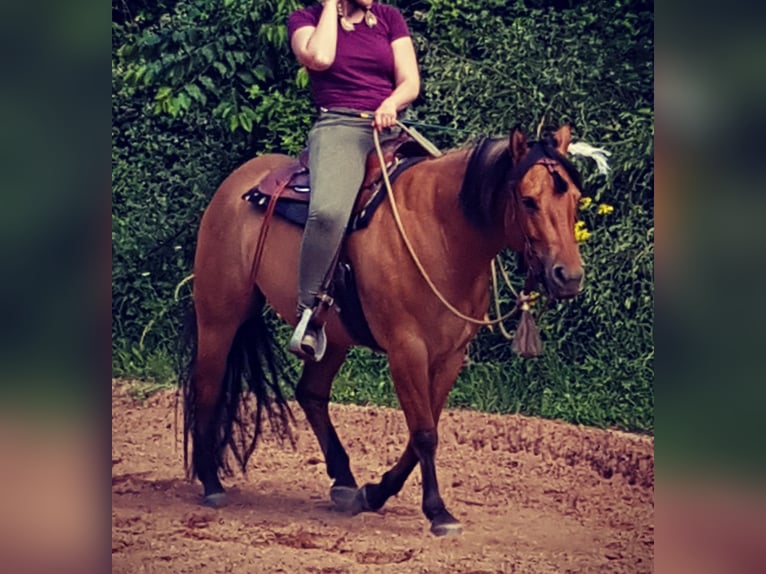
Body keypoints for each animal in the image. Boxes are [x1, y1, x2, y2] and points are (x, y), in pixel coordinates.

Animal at [180, 124, 589, 537]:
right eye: (528, 200)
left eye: (575, 198)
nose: (568, 276)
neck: (442, 232)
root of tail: (238, 182)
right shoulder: (406, 350)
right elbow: (424, 433)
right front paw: (438, 512)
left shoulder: (450, 355)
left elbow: (423, 428)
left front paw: (373, 493)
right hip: (219, 317)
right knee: (208, 388)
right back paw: (212, 484)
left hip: (332, 336)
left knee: (310, 393)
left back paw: (344, 483)